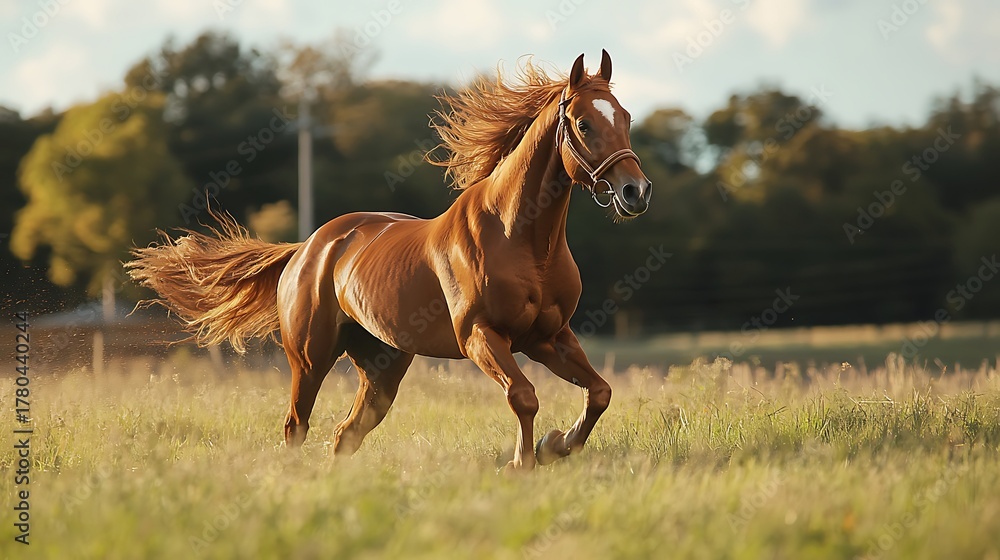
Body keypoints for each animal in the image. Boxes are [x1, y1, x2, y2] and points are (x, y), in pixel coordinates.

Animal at [127, 50, 652, 471]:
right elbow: (523, 396)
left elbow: (599, 392)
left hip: (382, 367)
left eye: (625, 117)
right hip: (311, 359)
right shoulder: (482, 337)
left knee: (346, 434)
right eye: (584, 123)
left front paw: (555, 446)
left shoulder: (548, 337)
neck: (520, 240)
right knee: (297, 425)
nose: (636, 192)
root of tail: (307, 248)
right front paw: (524, 461)